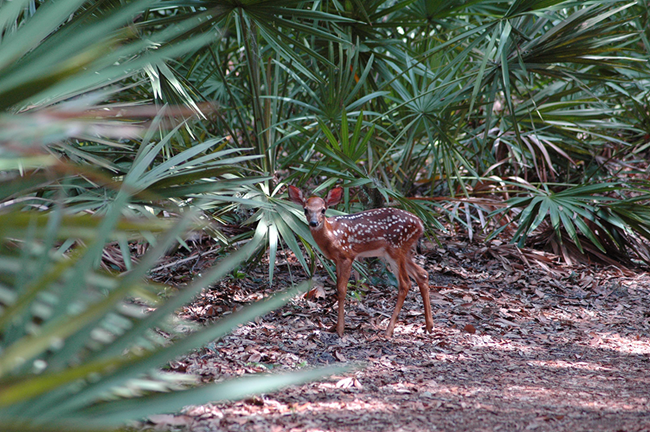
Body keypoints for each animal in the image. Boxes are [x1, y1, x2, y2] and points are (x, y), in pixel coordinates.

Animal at [288, 185, 434, 337]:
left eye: (323, 209)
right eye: (305, 209)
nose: (313, 223)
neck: (332, 235)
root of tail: (421, 225)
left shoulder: (347, 256)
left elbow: (342, 290)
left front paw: (340, 329)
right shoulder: (337, 260)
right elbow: (338, 287)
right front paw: (335, 327)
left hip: (396, 248)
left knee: (405, 283)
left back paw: (388, 331)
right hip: (402, 252)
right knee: (422, 274)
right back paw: (429, 326)